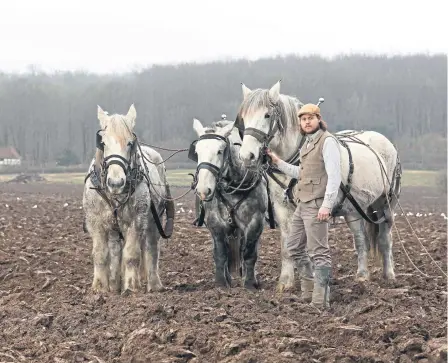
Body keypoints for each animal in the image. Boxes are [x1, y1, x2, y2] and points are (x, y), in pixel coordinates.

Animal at [82, 104, 173, 294]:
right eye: (103, 143)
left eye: (130, 143)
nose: (116, 182)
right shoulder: (95, 222)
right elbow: (100, 254)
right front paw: (100, 287)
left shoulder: (136, 220)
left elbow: (131, 254)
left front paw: (131, 286)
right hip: (114, 227)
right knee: (115, 251)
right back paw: (114, 283)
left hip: (152, 221)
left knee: (151, 248)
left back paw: (154, 284)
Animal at [190, 119, 268, 290]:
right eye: (197, 152)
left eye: (220, 151)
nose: (203, 190)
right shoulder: (215, 222)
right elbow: (220, 253)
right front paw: (221, 283)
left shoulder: (255, 222)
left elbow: (249, 253)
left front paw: (249, 283)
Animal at [234, 80, 402, 292]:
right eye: (244, 118)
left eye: (267, 115)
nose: (247, 156)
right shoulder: (282, 208)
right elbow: (287, 246)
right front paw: (286, 282)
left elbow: (313, 246)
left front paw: (315, 281)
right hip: (353, 210)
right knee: (361, 239)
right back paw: (362, 275)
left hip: (387, 203)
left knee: (385, 238)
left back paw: (389, 275)